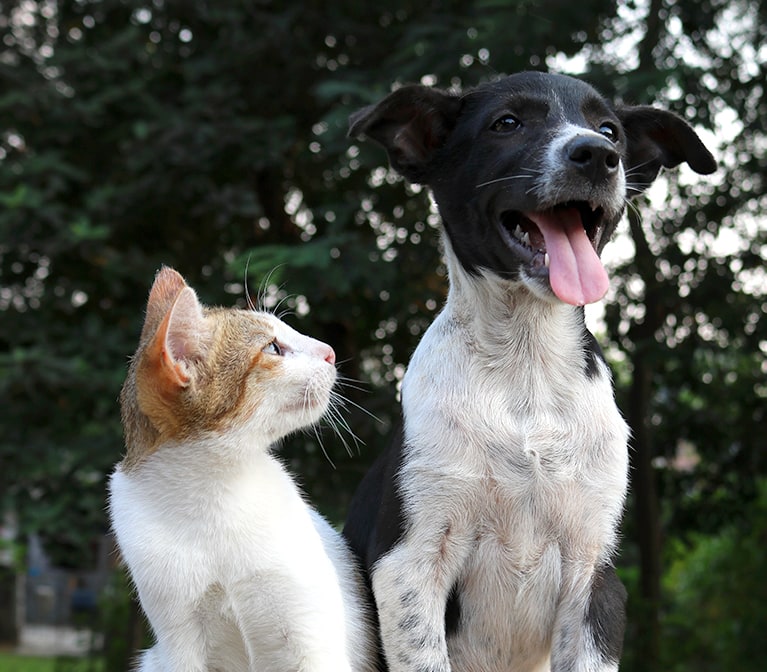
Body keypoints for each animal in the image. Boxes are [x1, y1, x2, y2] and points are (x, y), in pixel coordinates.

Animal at [344, 69, 716, 672]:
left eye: (609, 130)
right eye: (507, 123)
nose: (598, 156)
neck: (526, 371)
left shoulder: (595, 574)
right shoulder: (409, 567)